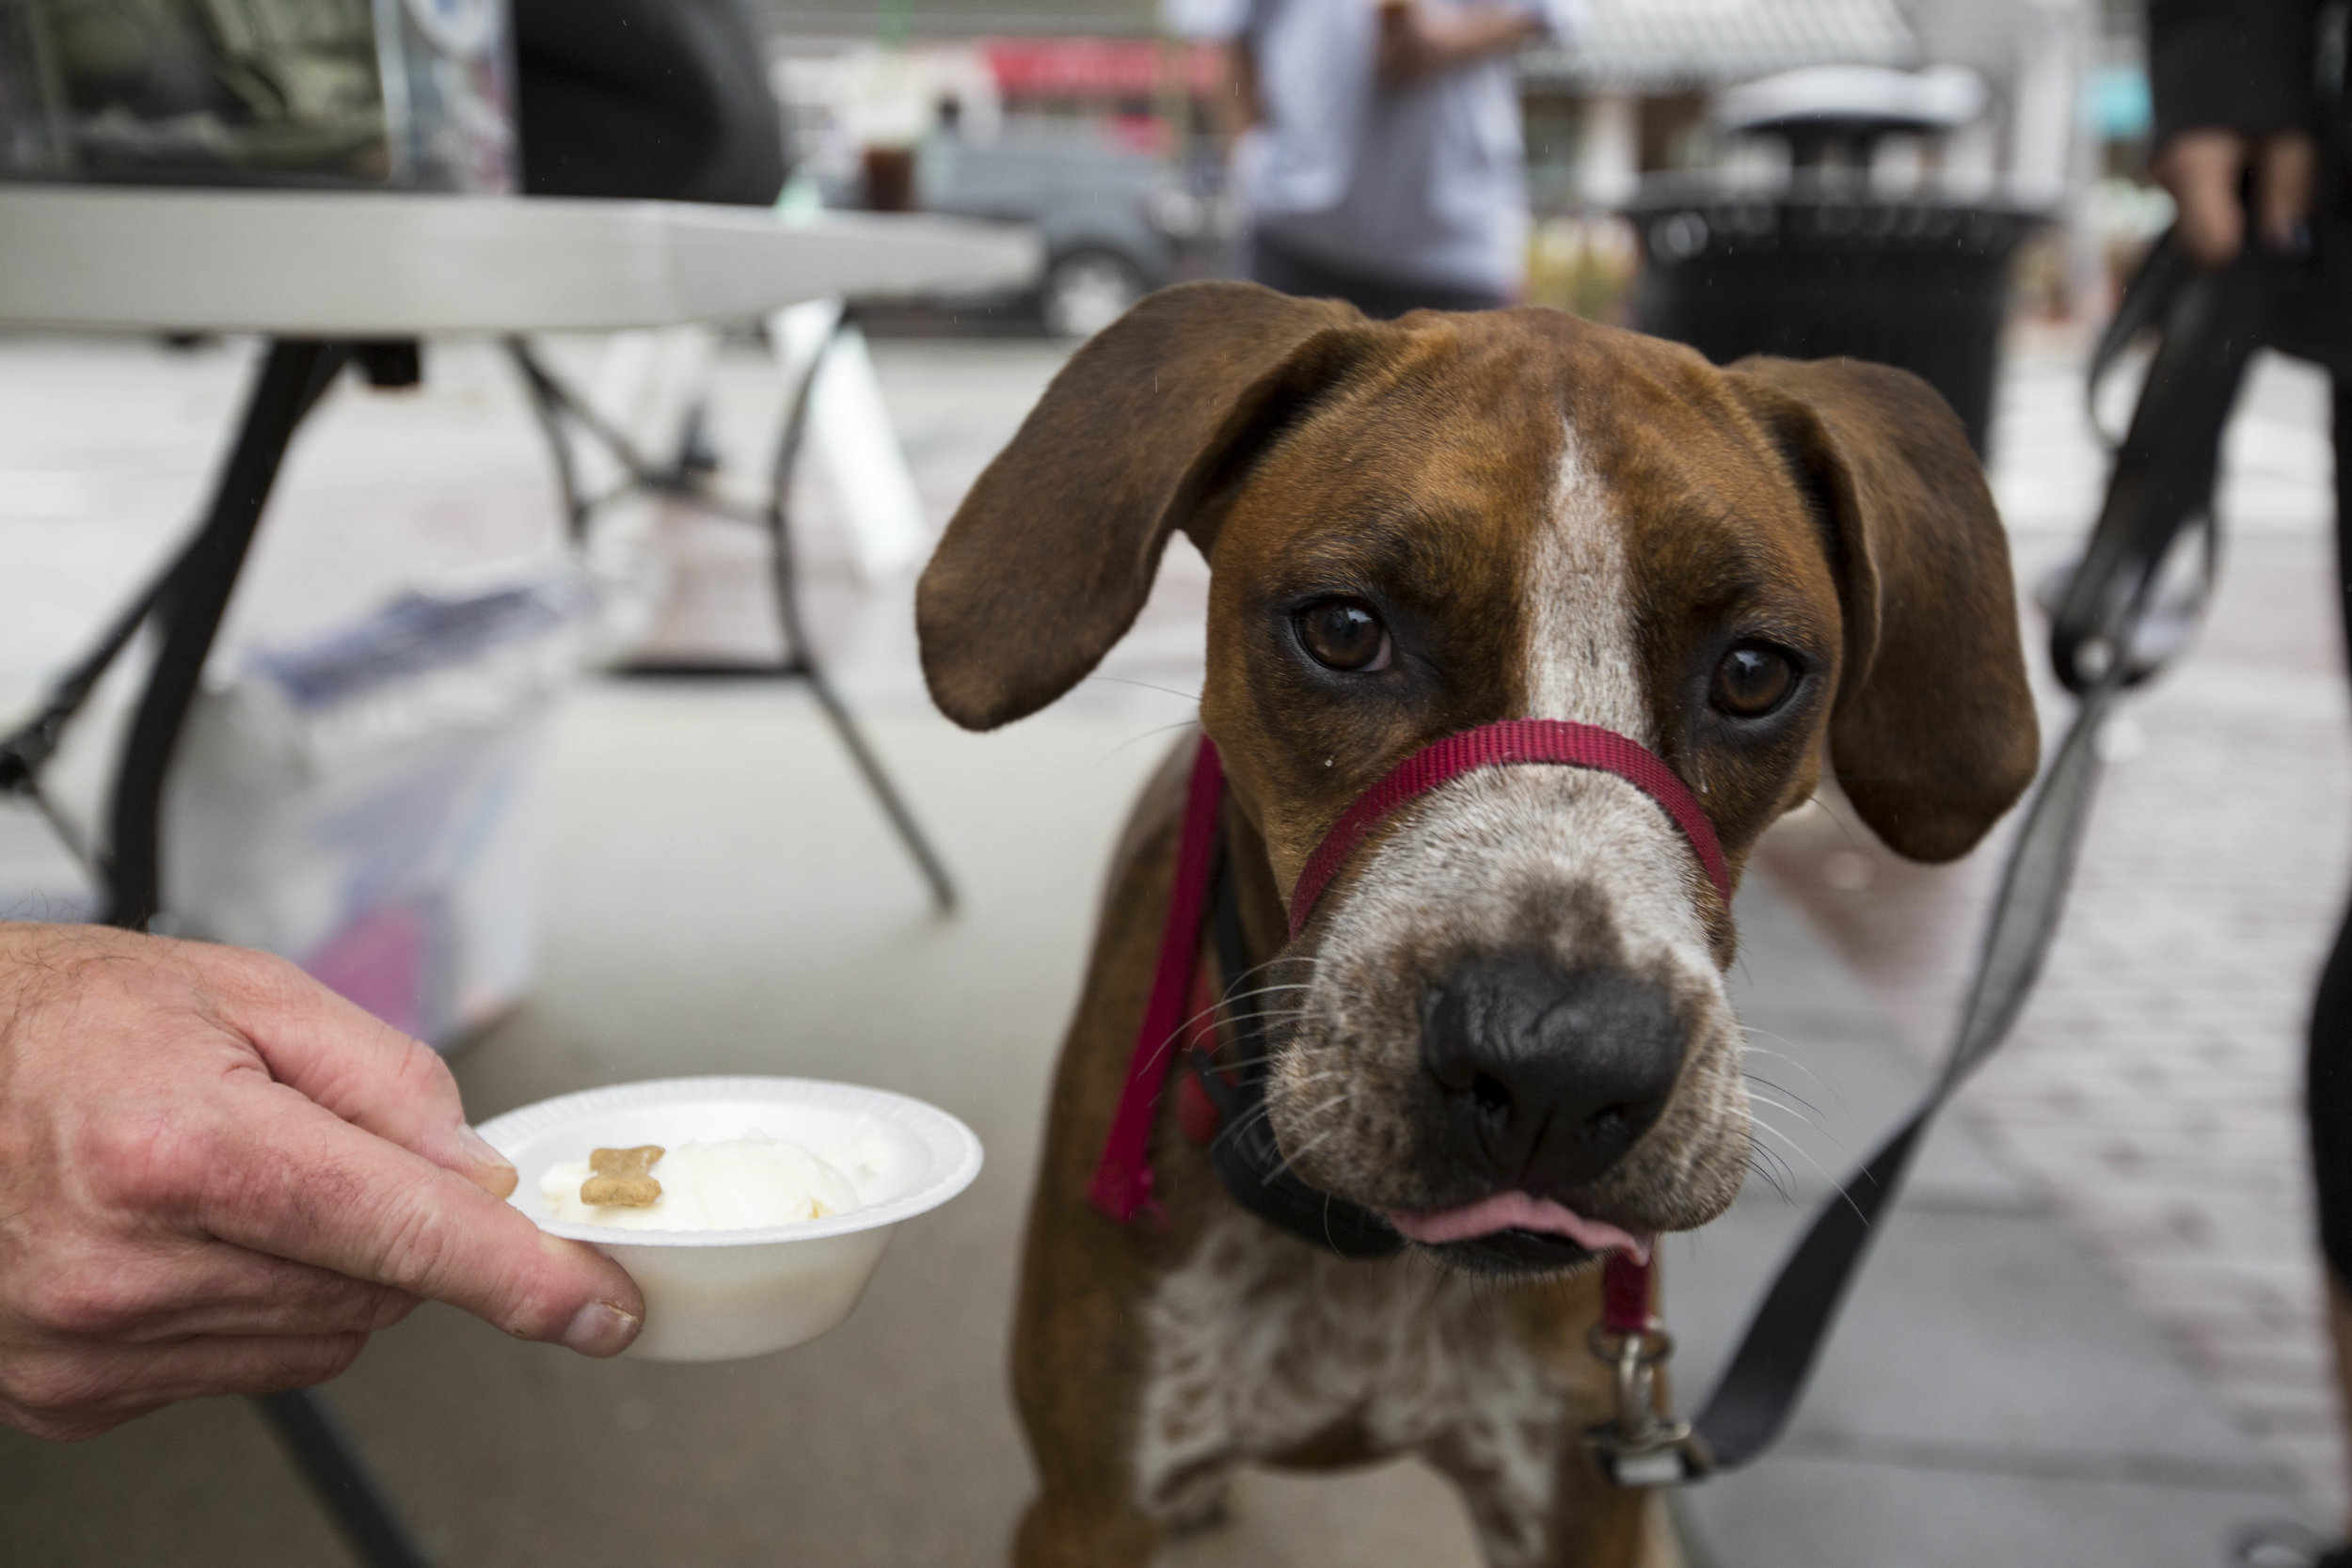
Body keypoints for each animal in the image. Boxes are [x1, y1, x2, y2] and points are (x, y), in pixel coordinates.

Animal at [917, 285, 2042, 1568]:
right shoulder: (1085, 1503)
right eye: (1342, 629)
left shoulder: (1584, 1502)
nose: (1558, 1069)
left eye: (1757, 671)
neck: (1363, 1269)